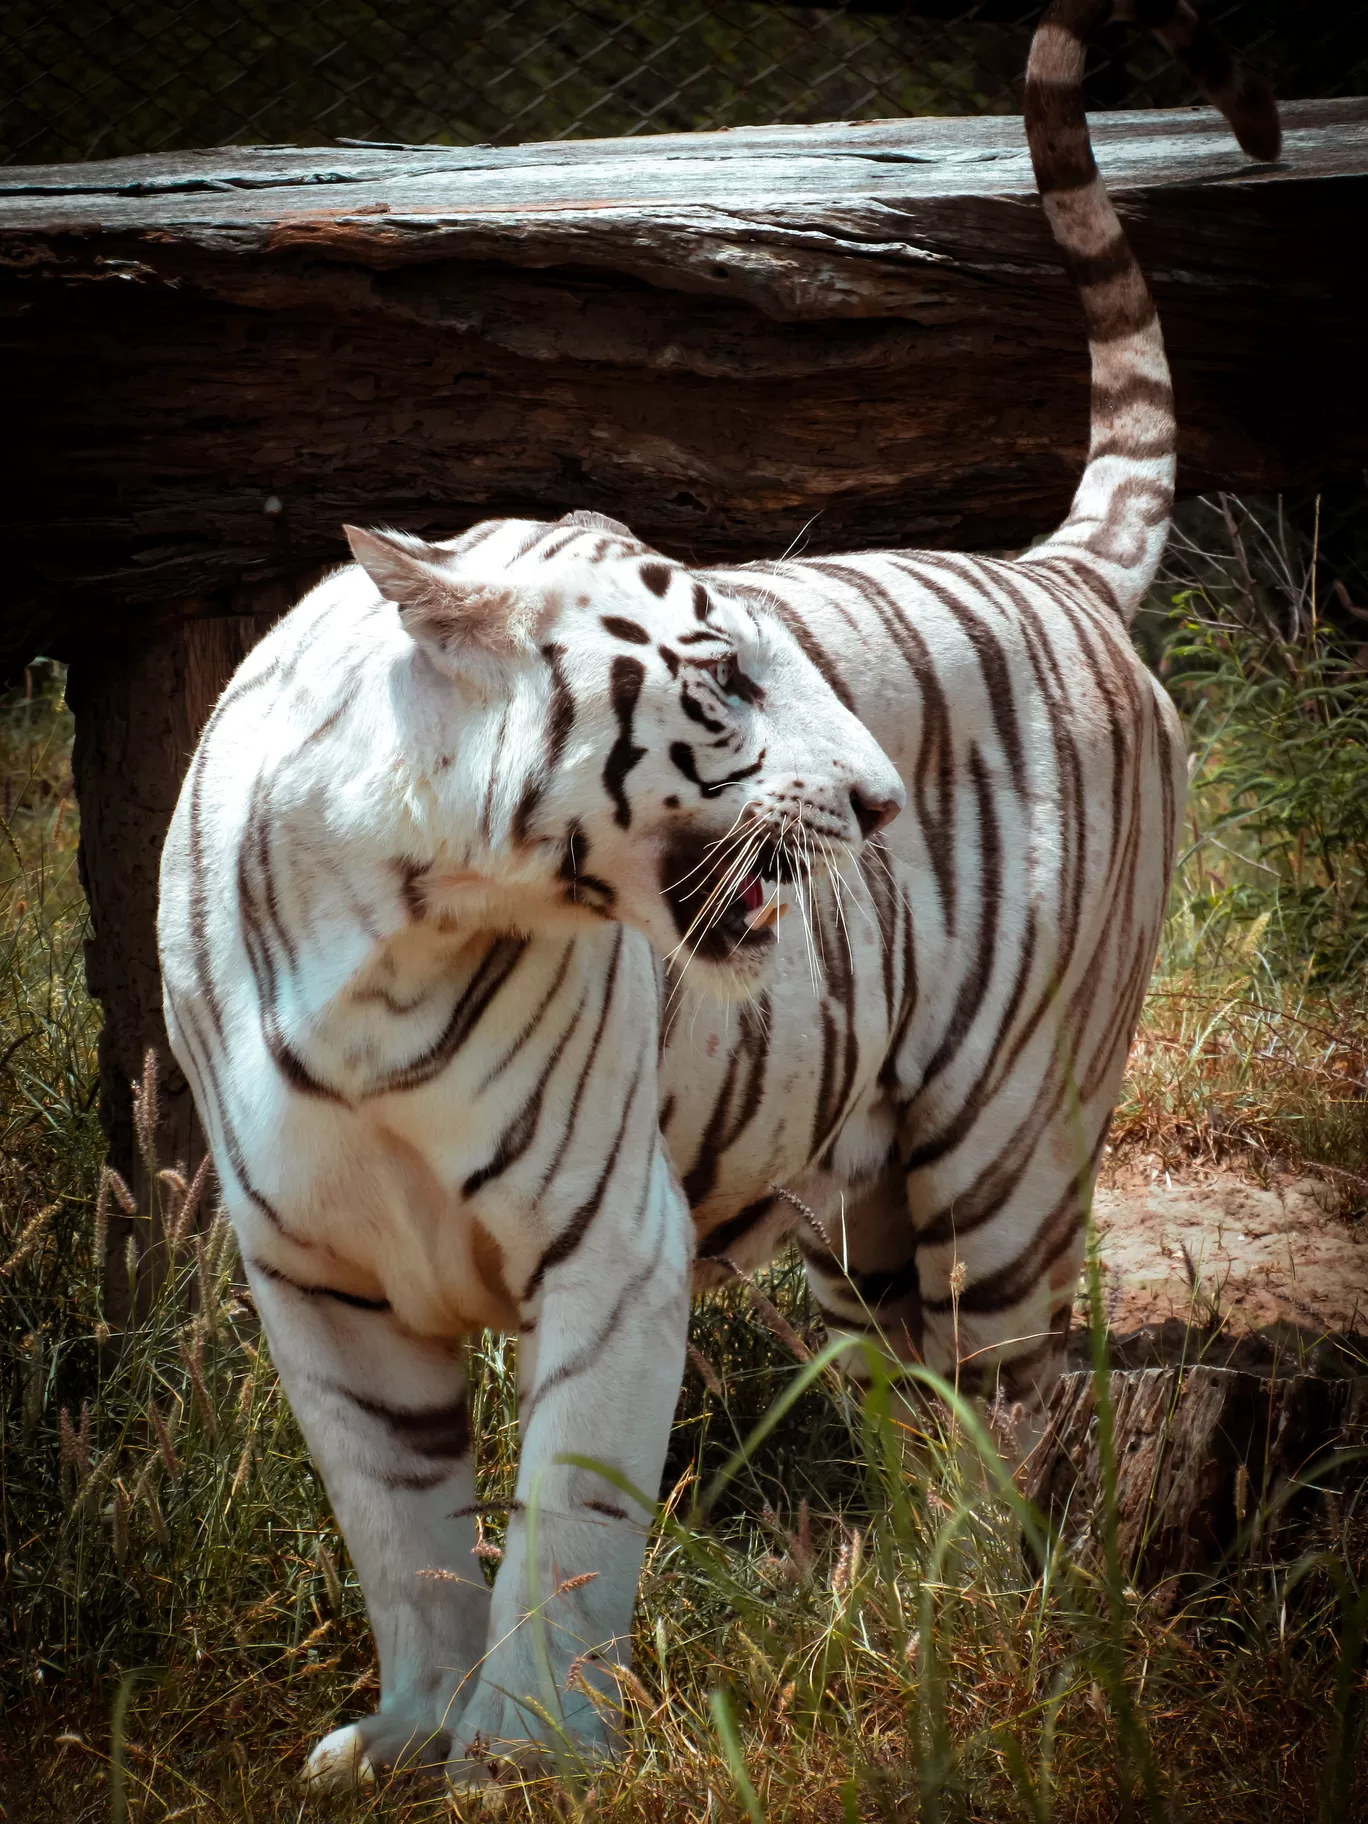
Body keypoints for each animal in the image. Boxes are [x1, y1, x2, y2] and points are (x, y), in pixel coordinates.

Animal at [160, 0, 1284, 1794]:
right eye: (726, 676)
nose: (883, 804)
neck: (400, 930)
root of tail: (1047, 572)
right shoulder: (315, 1278)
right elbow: (400, 1531)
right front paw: (409, 1733)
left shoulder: (615, 1245)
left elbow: (563, 1527)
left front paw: (526, 1758)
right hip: (854, 1212)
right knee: (908, 1393)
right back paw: (890, 1603)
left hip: (1007, 1153)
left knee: (1003, 1404)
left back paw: (969, 1624)